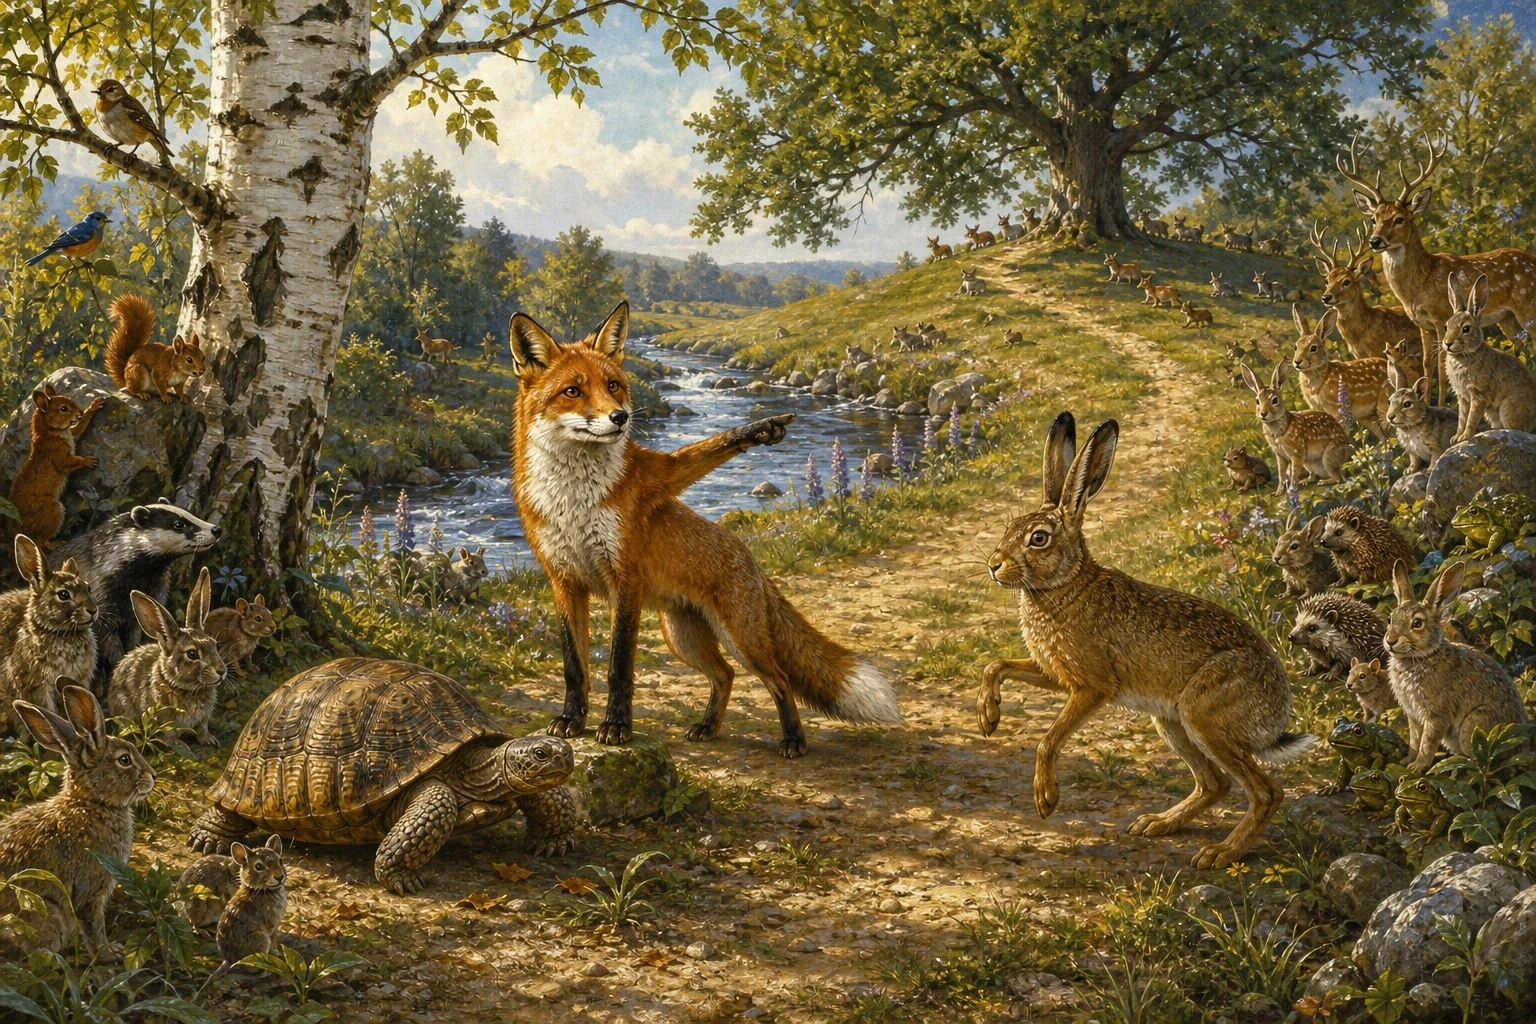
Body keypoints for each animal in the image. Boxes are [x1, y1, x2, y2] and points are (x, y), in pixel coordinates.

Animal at [0, 685, 154, 953]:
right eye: (124, 759)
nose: (152, 777)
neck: (90, 803)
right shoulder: (90, 891)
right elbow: (94, 927)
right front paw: (109, 953)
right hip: (46, 915)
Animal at [108, 567, 226, 745]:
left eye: (215, 645)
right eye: (192, 654)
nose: (221, 671)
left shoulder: (203, 719)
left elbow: (202, 728)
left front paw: (209, 740)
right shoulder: (165, 723)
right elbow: (169, 736)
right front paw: (180, 745)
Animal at [216, 834, 287, 964]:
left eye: (280, 860)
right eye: (259, 867)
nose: (279, 877)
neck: (260, 890)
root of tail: (229, 960)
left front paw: (278, 953)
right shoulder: (272, 925)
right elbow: (273, 940)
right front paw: (276, 955)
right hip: (260, 938)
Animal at [978, 412, 1314, 869]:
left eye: (1039, 538)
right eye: (1009, 528)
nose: (994, 566)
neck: (1065, 584)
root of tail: (1277, 716)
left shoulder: (1093, 686)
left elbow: (1048, 740)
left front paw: (1046, 799)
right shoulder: (1056, 675)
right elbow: (995, 664)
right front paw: (988, 717)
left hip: (1205, 717)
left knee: (1266, 791)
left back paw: (1220, 853)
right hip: (1172, 722)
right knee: (1215, 784)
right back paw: (1157, 824)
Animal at [1386, 559, 1527, 771]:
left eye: (1417, 623)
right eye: (1390, 619)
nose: (1390, 641)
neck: (1424, 656)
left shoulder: (1436, 716)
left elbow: (1427, 742)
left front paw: (1417, 766)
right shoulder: (1413, 717)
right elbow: (1415, 740)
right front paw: (1406, 761)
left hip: (1473, 726)